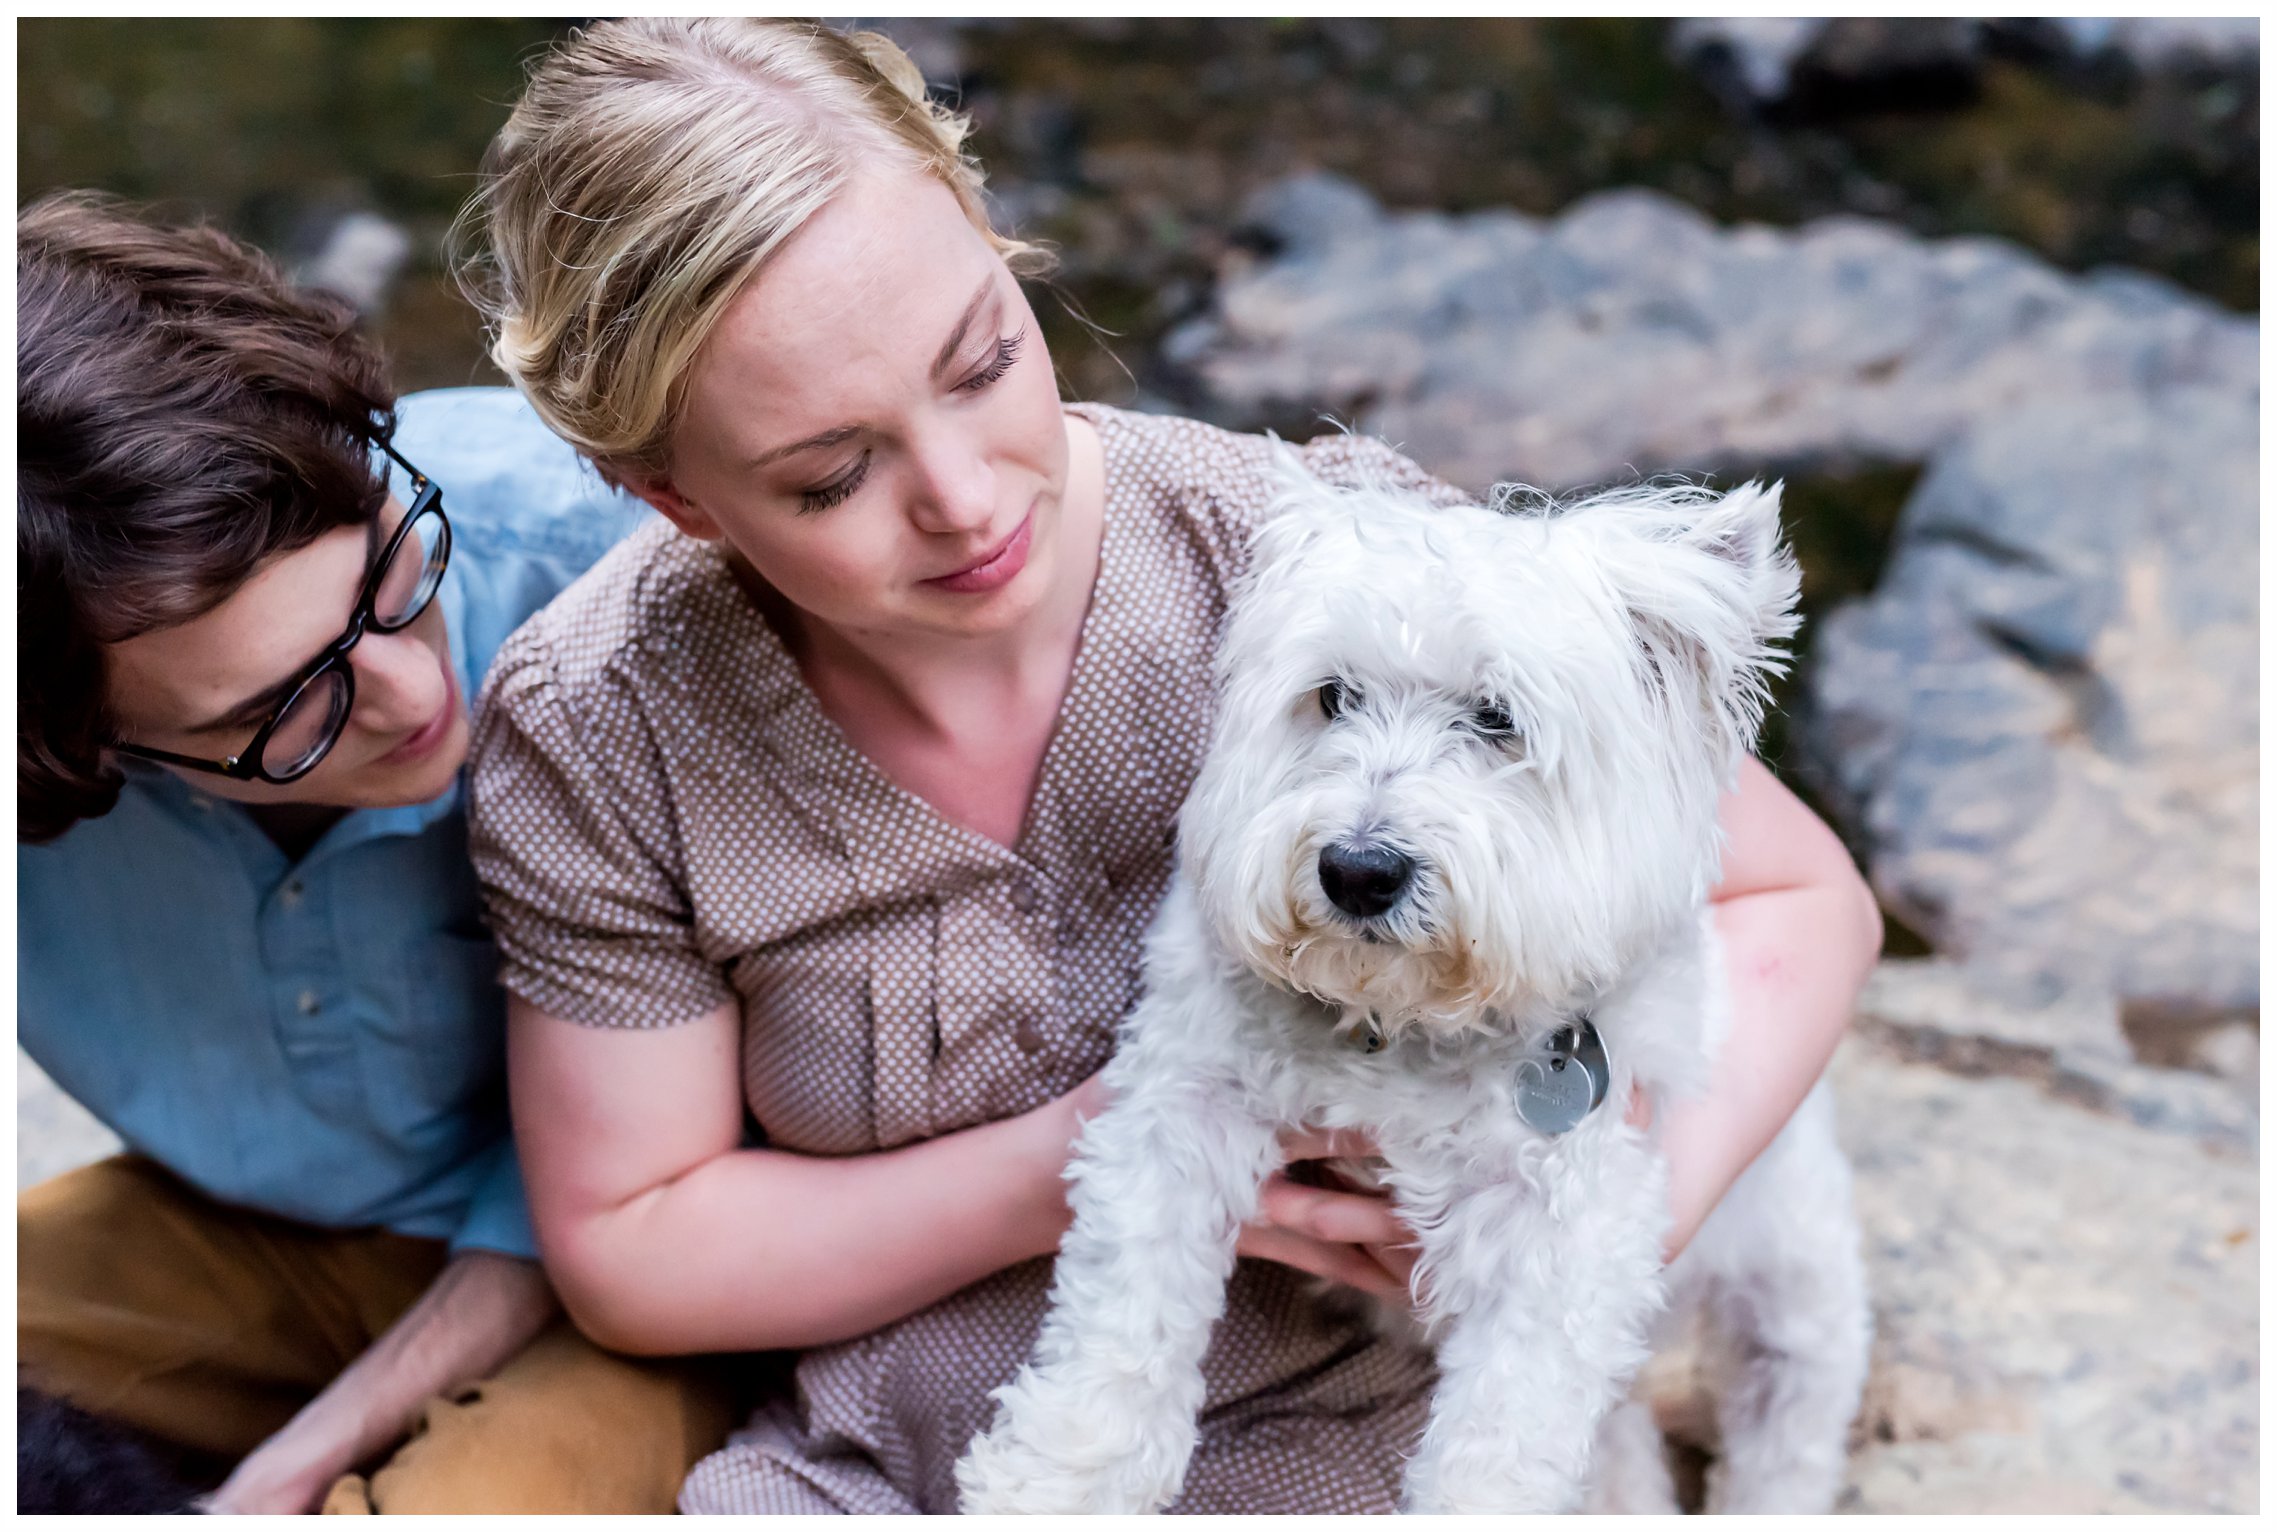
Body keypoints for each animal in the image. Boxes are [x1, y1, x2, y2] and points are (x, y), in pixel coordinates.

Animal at [956, 459, 1867, 1511]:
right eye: (1332, 696)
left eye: (1497, 718)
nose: (1357, 871)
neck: (1403, 1021)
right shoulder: (1181, 1102)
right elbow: (1125, 1304)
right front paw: (1055, 1477)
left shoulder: (1571, 1226)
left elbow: (1500, 1441)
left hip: (1794, 1299)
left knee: (1784, 1437)